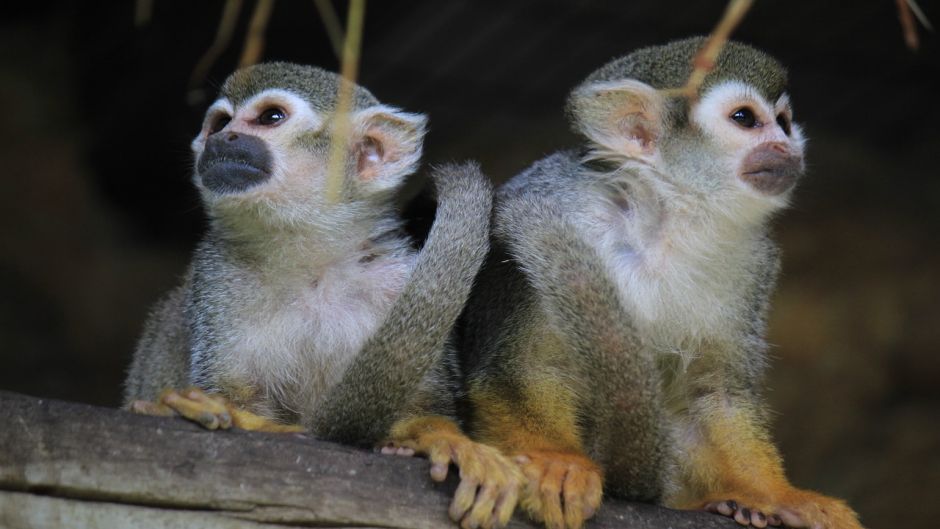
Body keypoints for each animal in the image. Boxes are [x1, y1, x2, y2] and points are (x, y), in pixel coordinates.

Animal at [123, 64, 520, 528]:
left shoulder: (397, 276)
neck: (313, 258)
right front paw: (226, 414)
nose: (224, 138)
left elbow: (422, 402)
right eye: (220, 122)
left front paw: (441, 438)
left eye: (271, 117)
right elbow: (233, 396)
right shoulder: (217, 273)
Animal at [458, 37, 864, 528]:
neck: (669, 219)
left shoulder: (755, 264)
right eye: (745, 118)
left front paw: (782, 495)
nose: (786, 146)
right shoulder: (559, 209)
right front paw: (557, 460)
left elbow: (713, 393)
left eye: (784, 122)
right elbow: (524, 366)